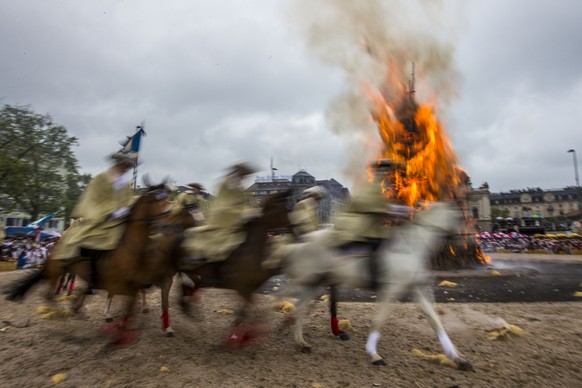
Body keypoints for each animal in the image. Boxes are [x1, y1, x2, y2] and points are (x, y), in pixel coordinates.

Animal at [6, 184, 171, 346]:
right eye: (154, 201)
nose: (167, 221)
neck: (128, 247)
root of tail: (56, 246)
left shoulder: (132, 283)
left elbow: (130, 304)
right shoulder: (121, 283)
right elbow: (123, 301)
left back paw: (76, 308)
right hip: (57, 270)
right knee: (49, 295)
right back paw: (64, 314)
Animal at [280, 202, 476, 372]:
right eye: (461, 219)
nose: (467, 243)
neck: (410, 246)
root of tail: (304, 239)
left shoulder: (415, 289)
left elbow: (434, 320)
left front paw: (457, 358)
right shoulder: (390, 290)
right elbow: (379, 320)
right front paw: (374, 354)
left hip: (317, 283)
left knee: (299, 308)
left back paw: (301, 343)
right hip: (311, 280)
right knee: (298, 306)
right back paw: (297, 337)